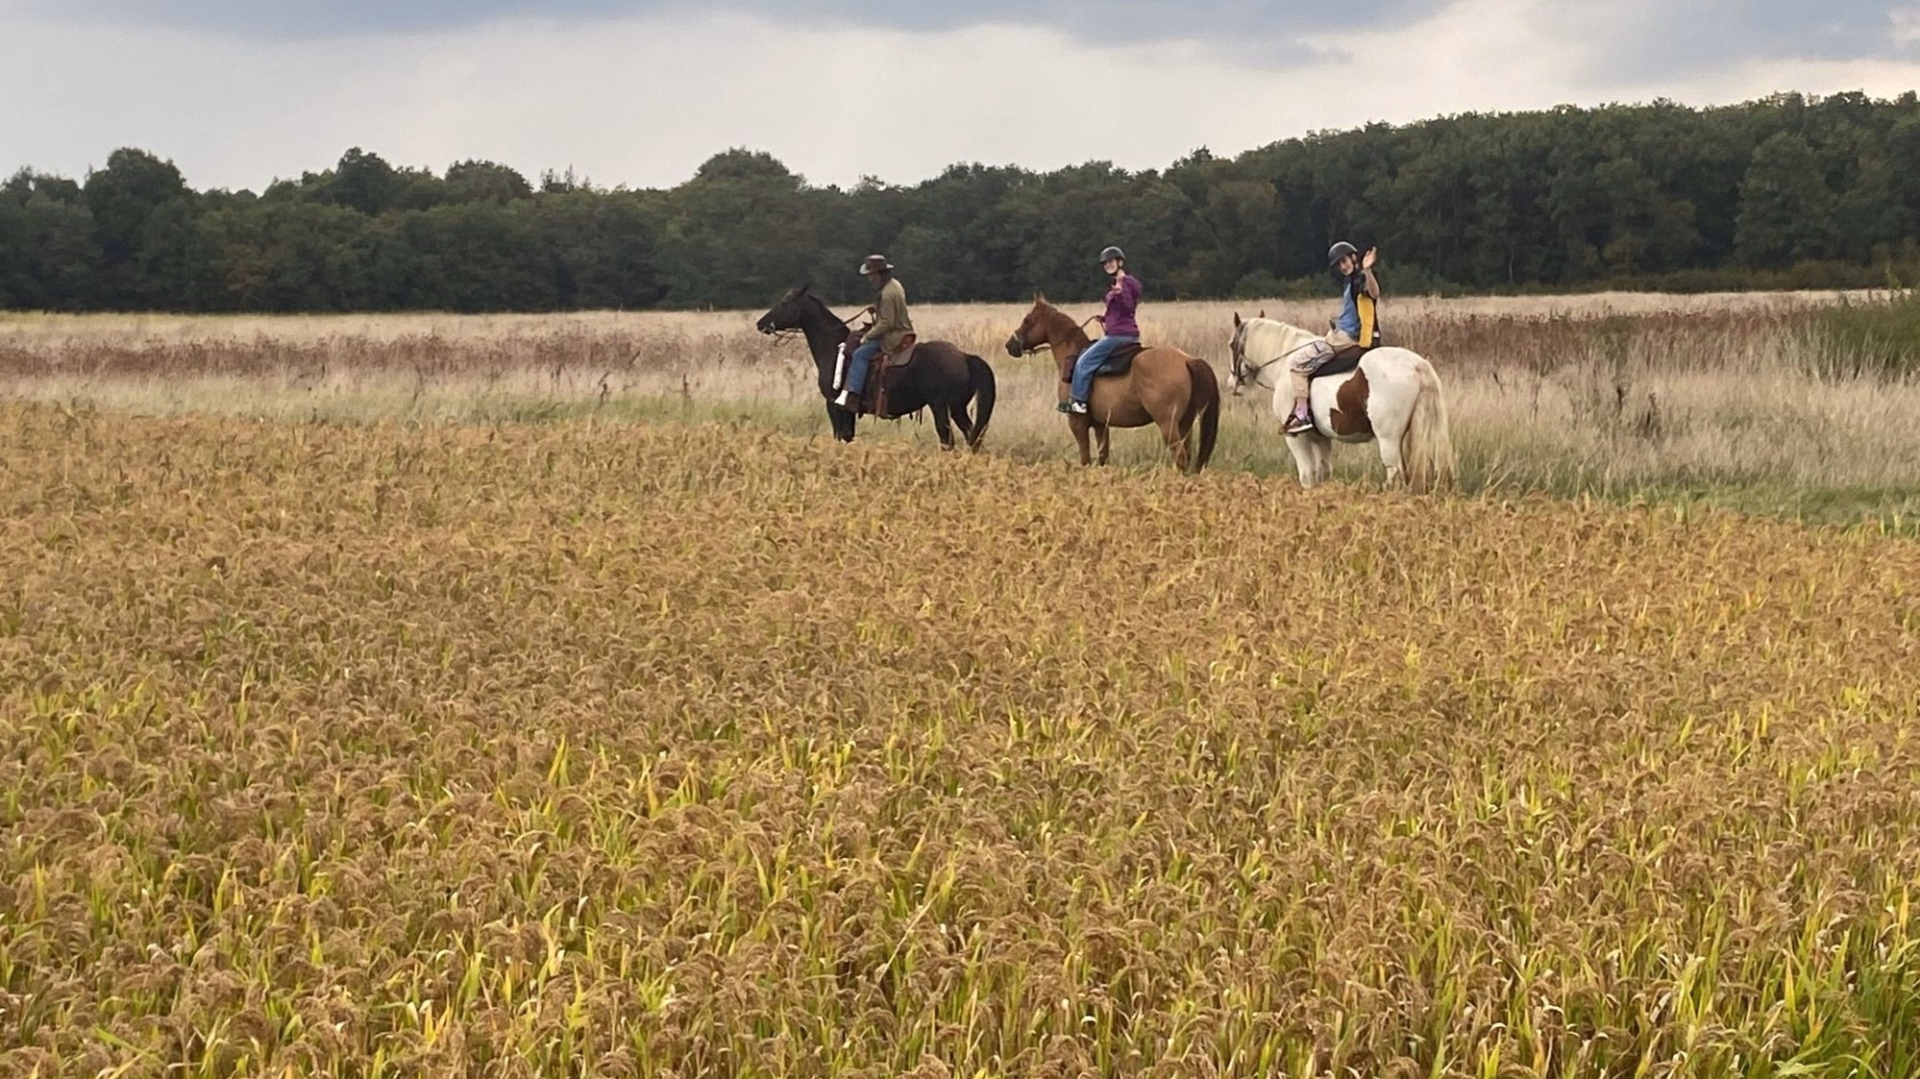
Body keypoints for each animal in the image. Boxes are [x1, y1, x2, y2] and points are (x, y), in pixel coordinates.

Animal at [755, 285, 996, 451]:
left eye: (785, 302)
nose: (761, 323)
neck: (833, 348)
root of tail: (964, 357)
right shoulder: (848, 411)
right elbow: (848, 437)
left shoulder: (834, 405)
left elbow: (840, 436)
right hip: (957, 408)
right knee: (973, 436)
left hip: (940, 407)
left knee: (948, 441)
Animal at [1003, 294, 1220, 473]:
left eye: (1028, 320)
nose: (1009, 345)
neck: (1071, 356)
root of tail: (1187, 359)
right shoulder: (1101, 425)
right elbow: (1103, 458)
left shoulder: (1077, 423)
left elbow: (1085, 459)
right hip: (1184, 423)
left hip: (1168, 424)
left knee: (1180, 458)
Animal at [1225, 314, 1455, 492]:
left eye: (1231, 345)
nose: (1230, 384)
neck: (1284, 363)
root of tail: (1417, 364)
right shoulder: (1321, 439)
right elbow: (1322, 473)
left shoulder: (1296, 439)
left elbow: (1307, 476)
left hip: (1388, 440)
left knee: (1396, 475)